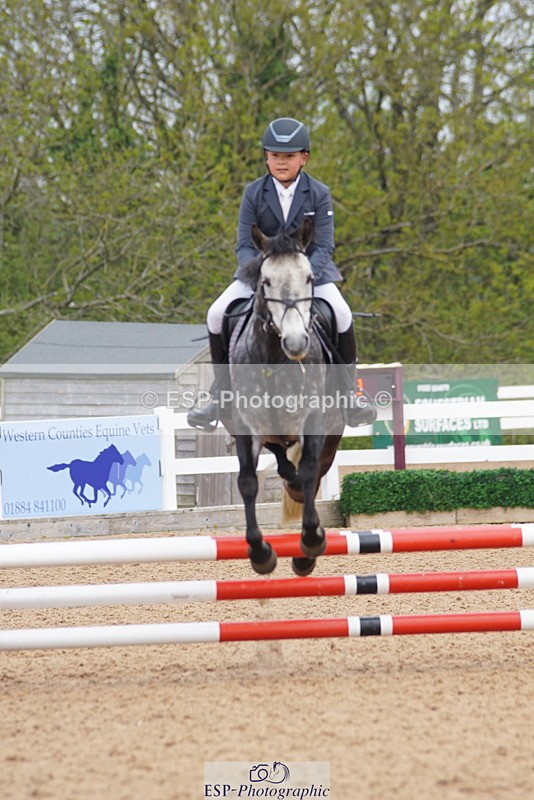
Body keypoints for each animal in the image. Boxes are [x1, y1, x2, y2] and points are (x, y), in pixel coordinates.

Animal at [226, 218, 344, 577]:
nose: (295, 343)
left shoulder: (313, 420)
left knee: (314, 470)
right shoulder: (246, 427)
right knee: (281, 459)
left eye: (308, 278)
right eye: (266, 281)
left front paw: (310, 543)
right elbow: (248, 482)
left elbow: (309, 471)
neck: (274, 359)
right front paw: (260, 552)